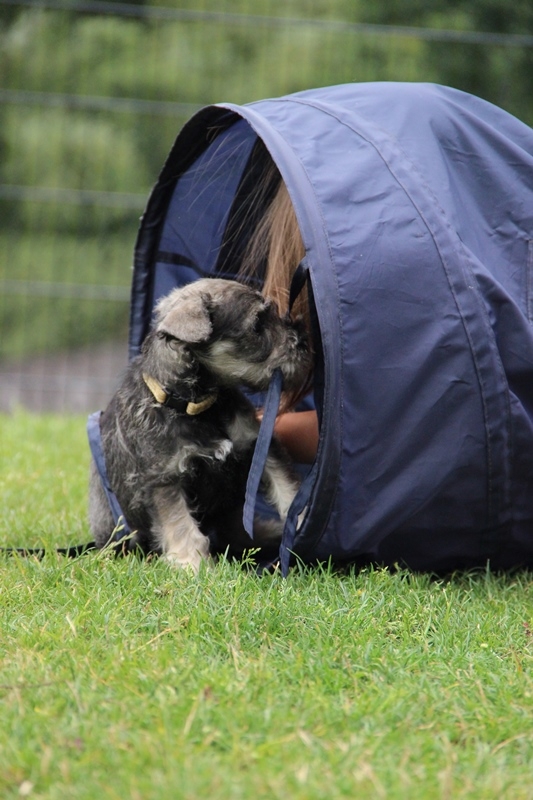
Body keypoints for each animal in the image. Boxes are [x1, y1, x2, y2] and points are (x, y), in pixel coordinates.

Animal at [89, 278, 310, 572]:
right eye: (257, 324)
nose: (303, 342)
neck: (200, 406)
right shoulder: (165, 478)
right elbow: (181, 525)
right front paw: (192, 565)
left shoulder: (259, 446)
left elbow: (287, 488)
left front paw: (300, 522)